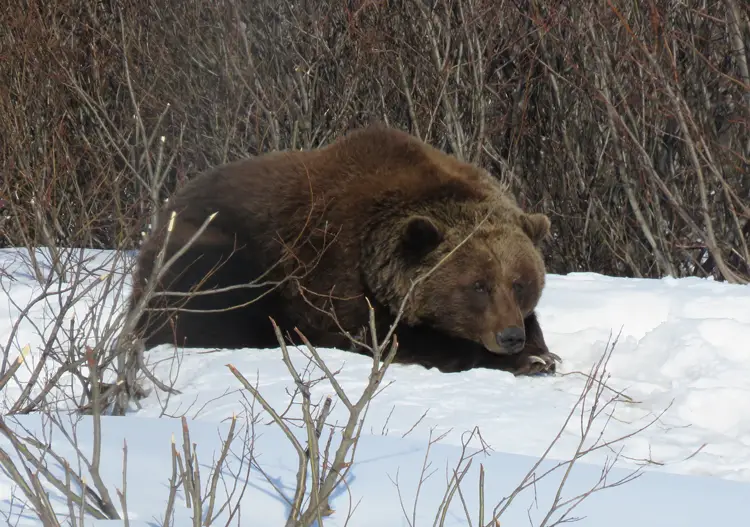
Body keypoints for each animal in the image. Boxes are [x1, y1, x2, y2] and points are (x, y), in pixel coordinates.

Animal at [129, 125, 560, 376]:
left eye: (520, 283)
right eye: (477, 286)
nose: (509, 336)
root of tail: (163, 212)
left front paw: (541, 349)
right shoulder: (335, 278)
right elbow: (395, 339)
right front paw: (527, 360)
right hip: (216, 249)